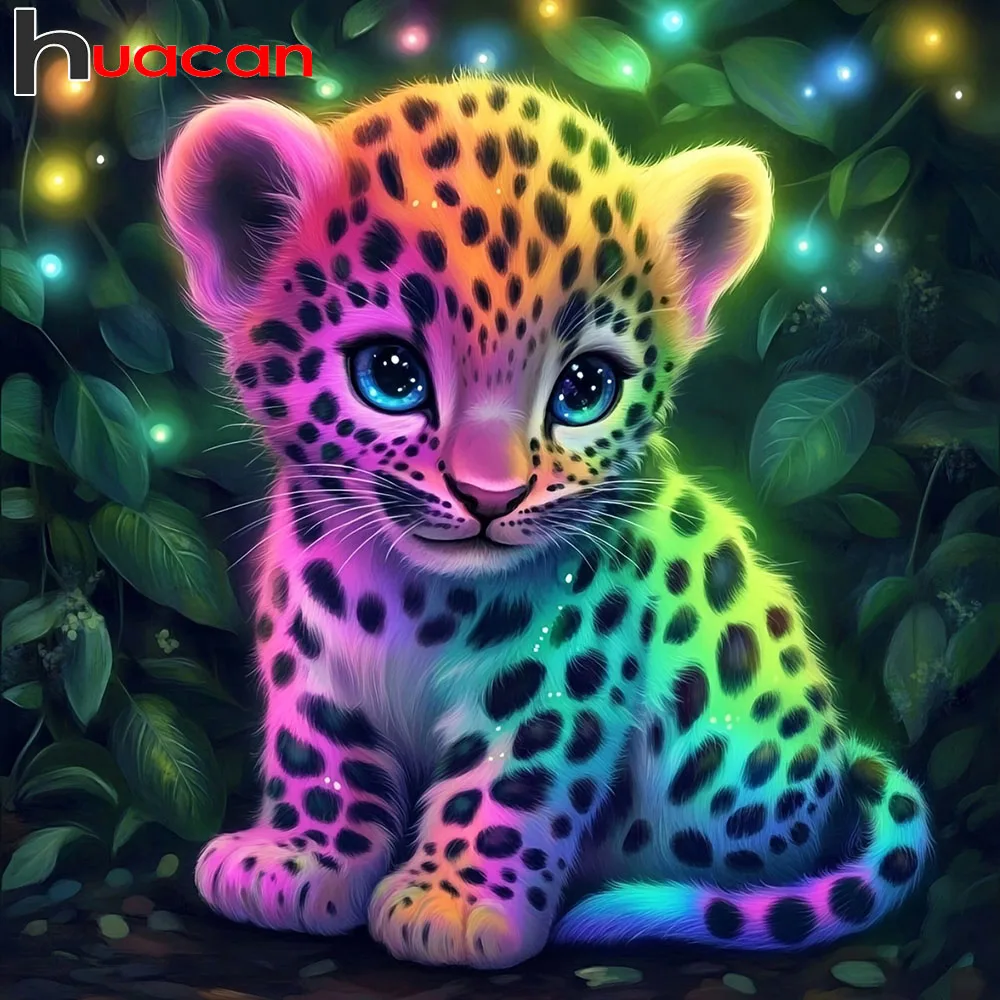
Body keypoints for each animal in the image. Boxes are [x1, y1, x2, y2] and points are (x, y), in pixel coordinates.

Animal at [159, 75, 932, 969]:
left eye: (586, 387)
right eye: (390, 374)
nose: (490, 497)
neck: (407, 600)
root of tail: (842, 760)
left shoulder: (566, 665)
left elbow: (512, 778)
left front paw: (456, 908)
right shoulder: (312, 653)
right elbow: (321, 750)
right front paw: (296, 861)